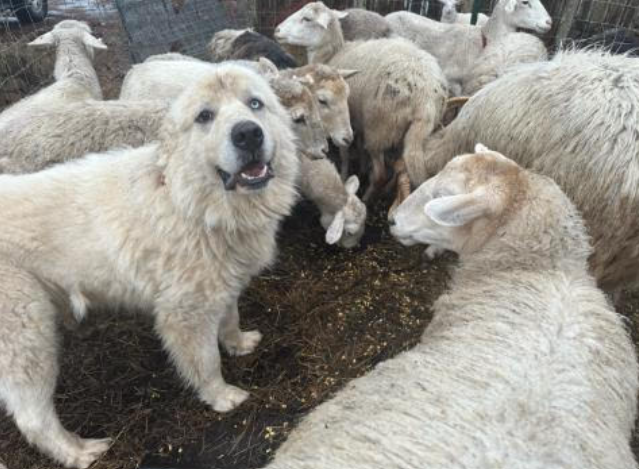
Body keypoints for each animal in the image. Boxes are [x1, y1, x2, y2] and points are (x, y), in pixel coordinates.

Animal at [0, 63, 300, 468]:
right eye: (204, 116)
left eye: (255, 104)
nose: (248, 133)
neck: (187, 200)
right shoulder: (183, 313)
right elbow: (206, 362)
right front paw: (221, 397)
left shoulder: (218, 284)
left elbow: (230, 318)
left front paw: (238, 343)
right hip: (26, 336)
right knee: (33, 418)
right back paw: (78, 451)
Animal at [276, 1, 450, 203]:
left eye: (307, 18)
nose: (277, 30)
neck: (331, 55)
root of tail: (426, 97)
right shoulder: (357, 121)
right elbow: (358, 147)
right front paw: (361, 166)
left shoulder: (345, 123)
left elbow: (344, 152)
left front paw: (344, 175)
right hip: (407, 132)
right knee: (399, 165)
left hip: (379, 130)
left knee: (381, 173)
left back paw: (368, 196)